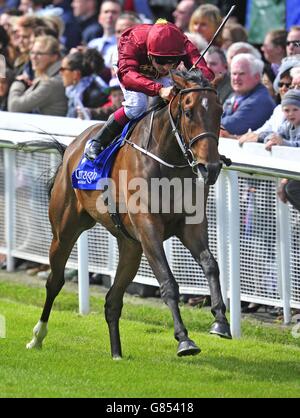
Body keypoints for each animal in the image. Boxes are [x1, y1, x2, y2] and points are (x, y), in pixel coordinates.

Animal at [26, 70, 232, 358]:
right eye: (188, 112)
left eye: (219, 111)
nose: (209, 168)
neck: (168, 161)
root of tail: (72, 149)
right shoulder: (148, 227)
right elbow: (168, 282)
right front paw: (184, 339)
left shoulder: (190, 225)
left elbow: (211, 265)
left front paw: (220, 322)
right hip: (64, 231)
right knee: (54, 282)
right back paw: (37, 336)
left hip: (130, 246)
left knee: (112, 300)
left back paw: (116, 354)